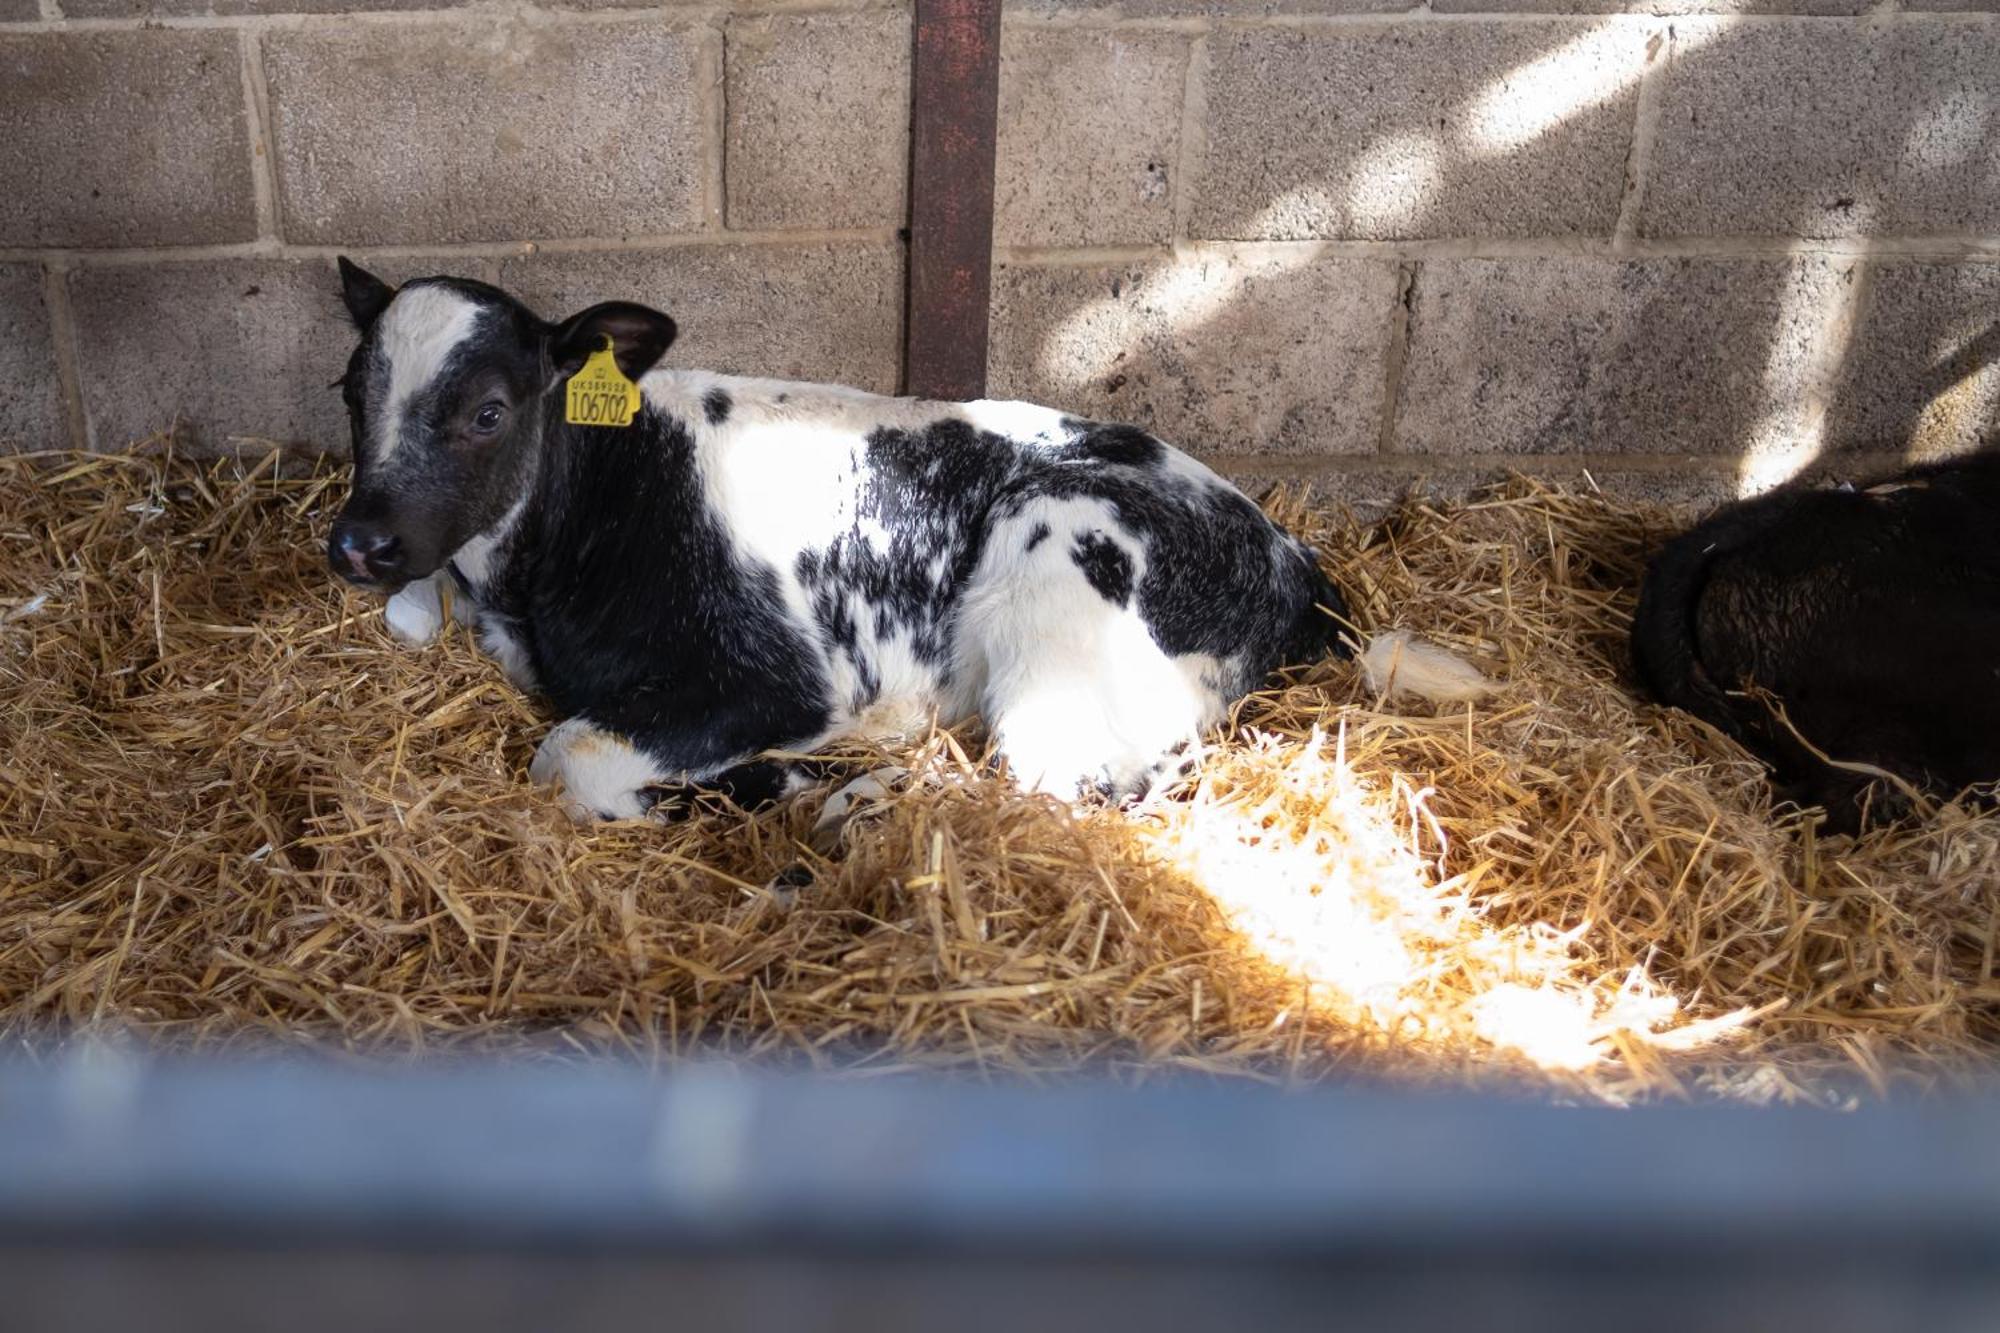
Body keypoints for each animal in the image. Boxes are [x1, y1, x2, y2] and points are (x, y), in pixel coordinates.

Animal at [328, 256, 1352, 820]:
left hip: (1057, 589)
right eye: (349, 389)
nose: (358, 543)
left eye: (489, 411)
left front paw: (764, 787)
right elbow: (413, 616)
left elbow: (567, 758)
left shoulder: (769, 679)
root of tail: (1287, 553)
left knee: (1049, 788)